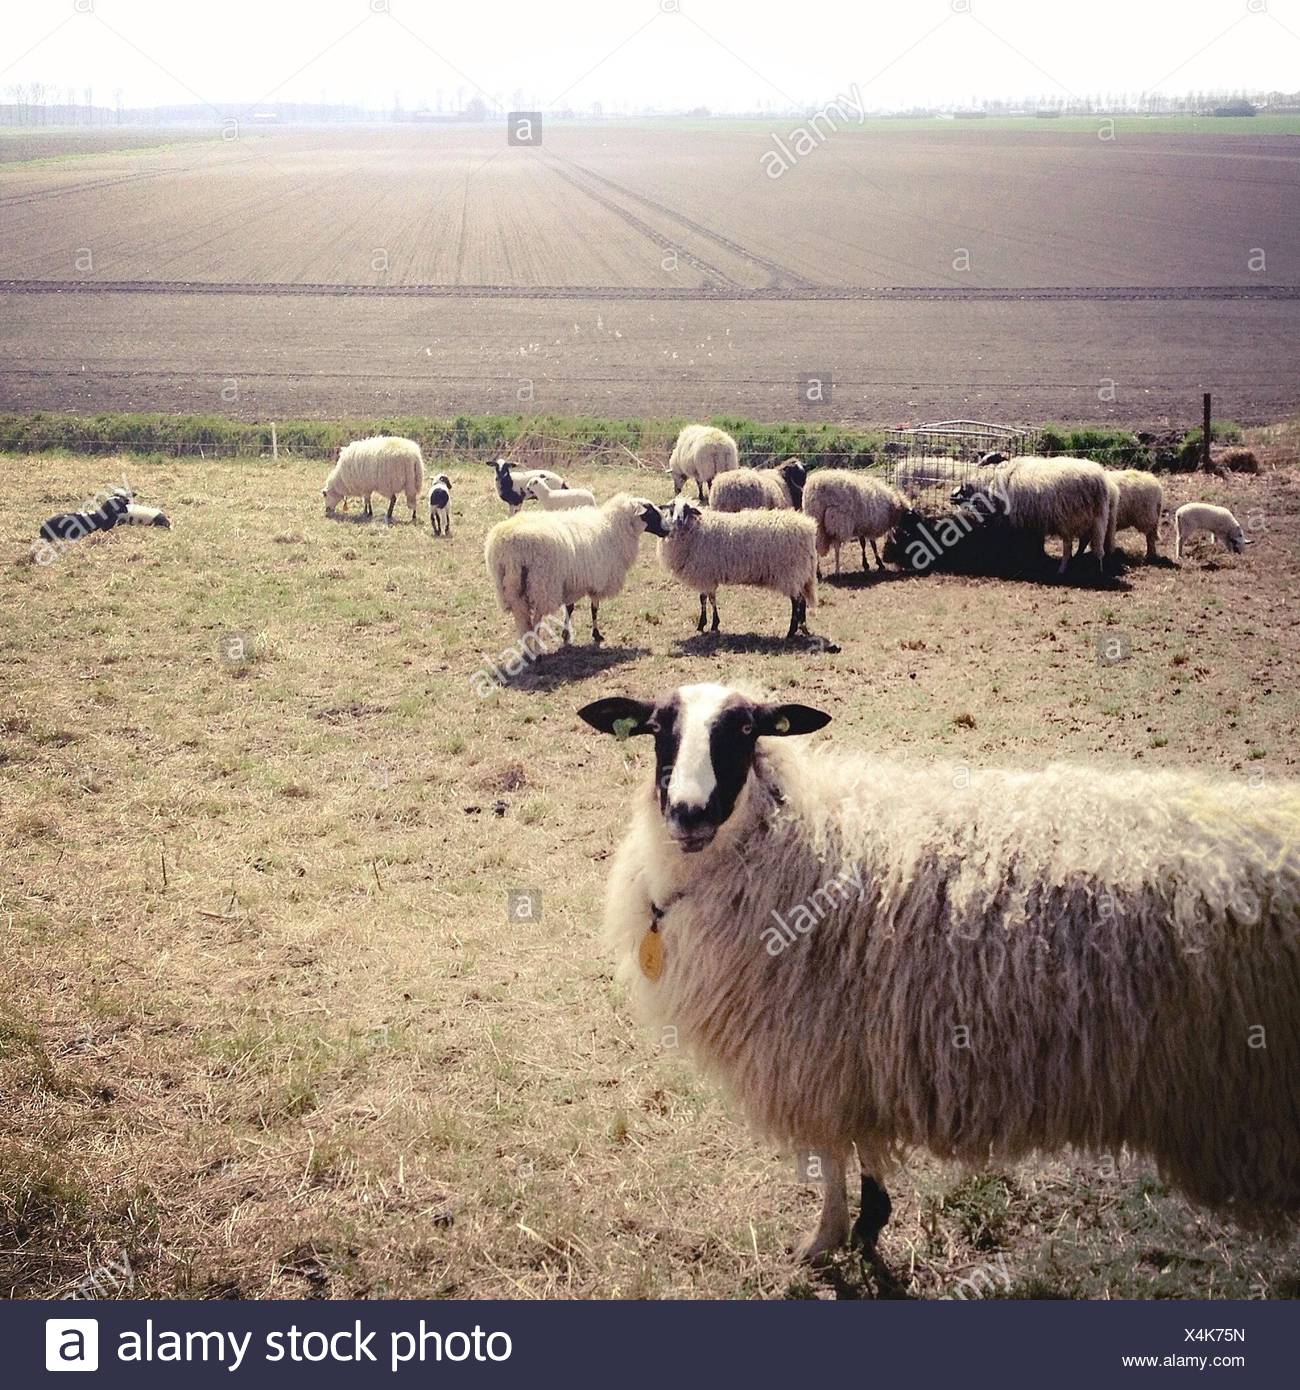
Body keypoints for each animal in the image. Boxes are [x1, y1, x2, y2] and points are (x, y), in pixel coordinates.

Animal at [484, 493, 667, 645]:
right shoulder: (597, 580)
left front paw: (566, 635)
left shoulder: (571, 582)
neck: (613, 528)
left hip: (511, 587)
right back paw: (536, 651)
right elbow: (594, 609)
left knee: (522, 618)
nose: (667, 530)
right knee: (536, 620)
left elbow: (570, 608)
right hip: (543, 586)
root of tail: (511, 544)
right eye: (651, 512)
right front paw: (596, 634)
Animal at [578, 680, 1300, 1263]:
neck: (792, 836)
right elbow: (859, 1145)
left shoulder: (813, 1052)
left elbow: (831, 1155)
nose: (688, 812)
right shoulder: (854, 1051)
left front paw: (827, 1239)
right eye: (658, 729)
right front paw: (868, 1223)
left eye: (747, 730)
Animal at [657, 498, 818, 639]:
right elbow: (711, 598)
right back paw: (802, 628)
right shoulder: (709, 574)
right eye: (671, 507)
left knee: (796, 601)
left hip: (791, 572)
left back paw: (791, 631)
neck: (696, 528)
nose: (677, 520)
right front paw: (713, 624)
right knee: (802, 601)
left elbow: (704, 599)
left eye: (686, 509)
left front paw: (704, 624)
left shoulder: (705, 573)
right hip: (799, 574)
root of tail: (808, 528)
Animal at [951, 456, 1109, 576]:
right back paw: (1082, 561)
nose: (951, 497)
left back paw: (1063, 568)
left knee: (1069, 545)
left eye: (963, 490)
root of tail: (1098, 482)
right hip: (1094, 518)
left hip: (1069, 519)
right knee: (1086, 541)